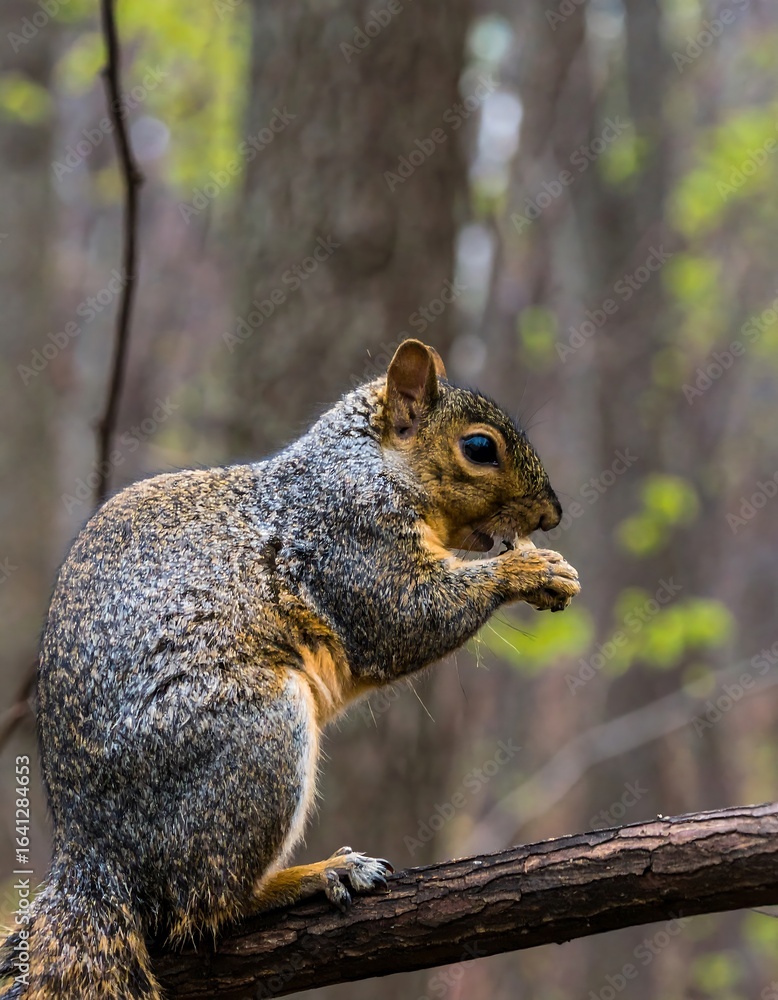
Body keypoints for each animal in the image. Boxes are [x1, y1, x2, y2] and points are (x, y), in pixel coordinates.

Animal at [0, 339, 579, 999]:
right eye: (480, 447)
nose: (553, 514)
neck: (370, 466)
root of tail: (95, 856)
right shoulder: (349, 542)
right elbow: (406, 617)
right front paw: (529, 570)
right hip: (258, 741)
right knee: (204, 905)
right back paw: (314, 874)